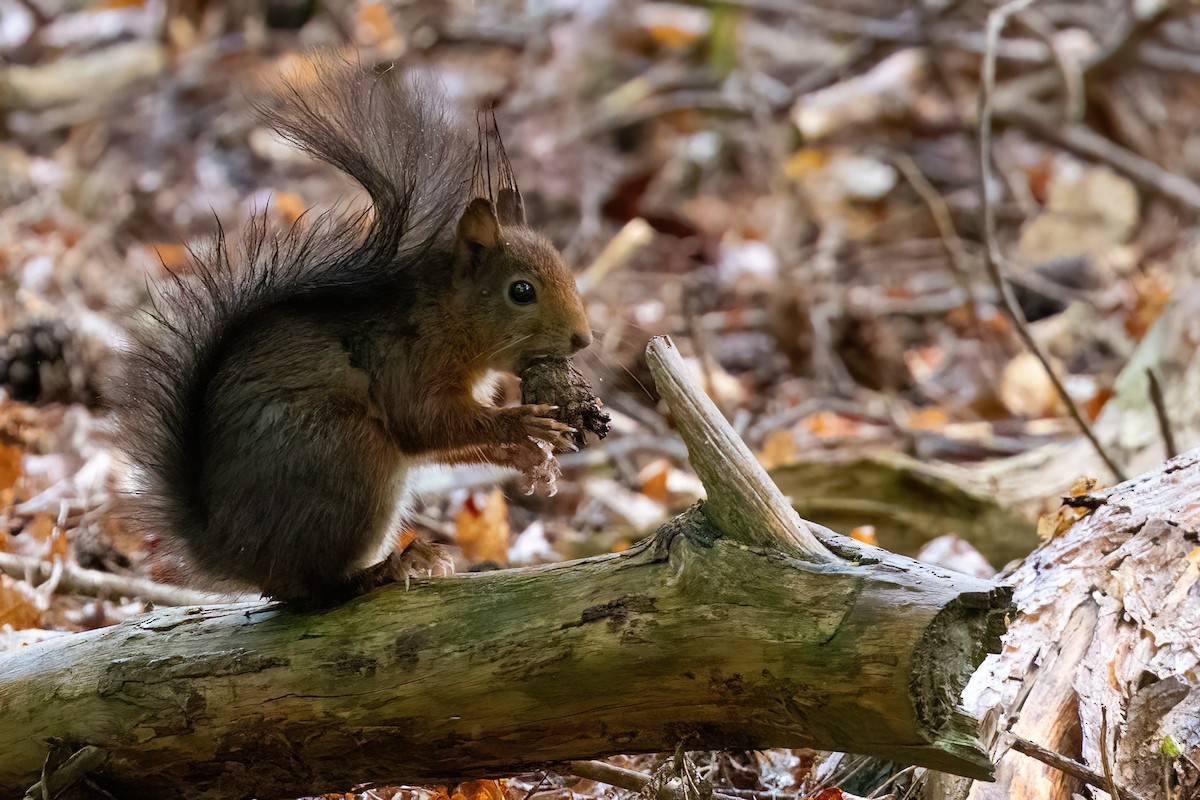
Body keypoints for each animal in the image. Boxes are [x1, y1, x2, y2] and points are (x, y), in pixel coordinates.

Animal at [112, 59, 593, 607]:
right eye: (521, 291)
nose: (582, 339)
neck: (445, 314)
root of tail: (230, 550)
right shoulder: (407, 361)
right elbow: (424, 422)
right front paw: (522, 424)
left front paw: (531, 458)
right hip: (348, 455)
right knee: (313, 589)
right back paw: (389, 567)